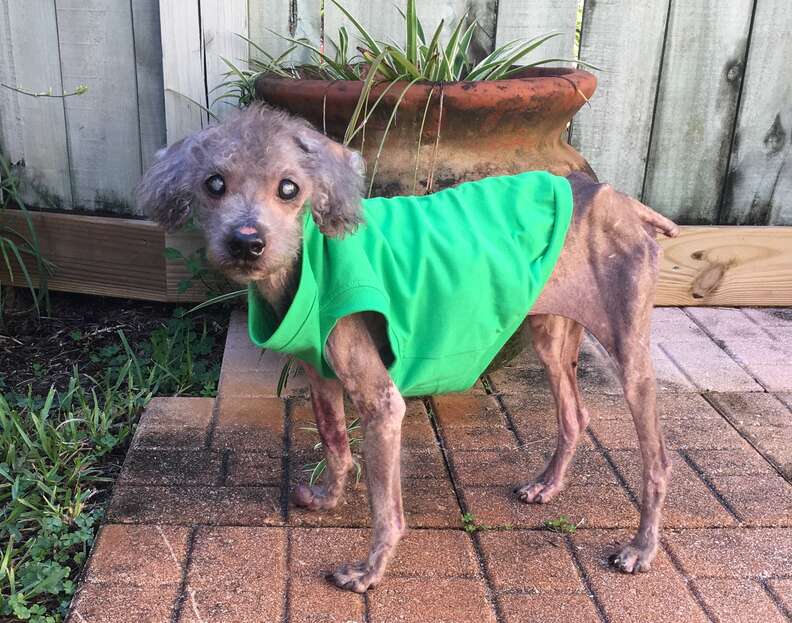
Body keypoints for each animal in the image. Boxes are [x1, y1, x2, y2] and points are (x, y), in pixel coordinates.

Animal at [138, 105, 680, 592]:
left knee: (657, 462)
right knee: (575, 416)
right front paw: (329, 498)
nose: (247, 242)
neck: (309, 263)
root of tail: (621, 199)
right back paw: (547, 484)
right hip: (549, 336)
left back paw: (641, 549)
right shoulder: (321, 378)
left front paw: (369, 572)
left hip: (630, 356)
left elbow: (386, 509)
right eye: (214, 183)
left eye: (289, 188)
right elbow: (335, 445)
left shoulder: (383, 404)